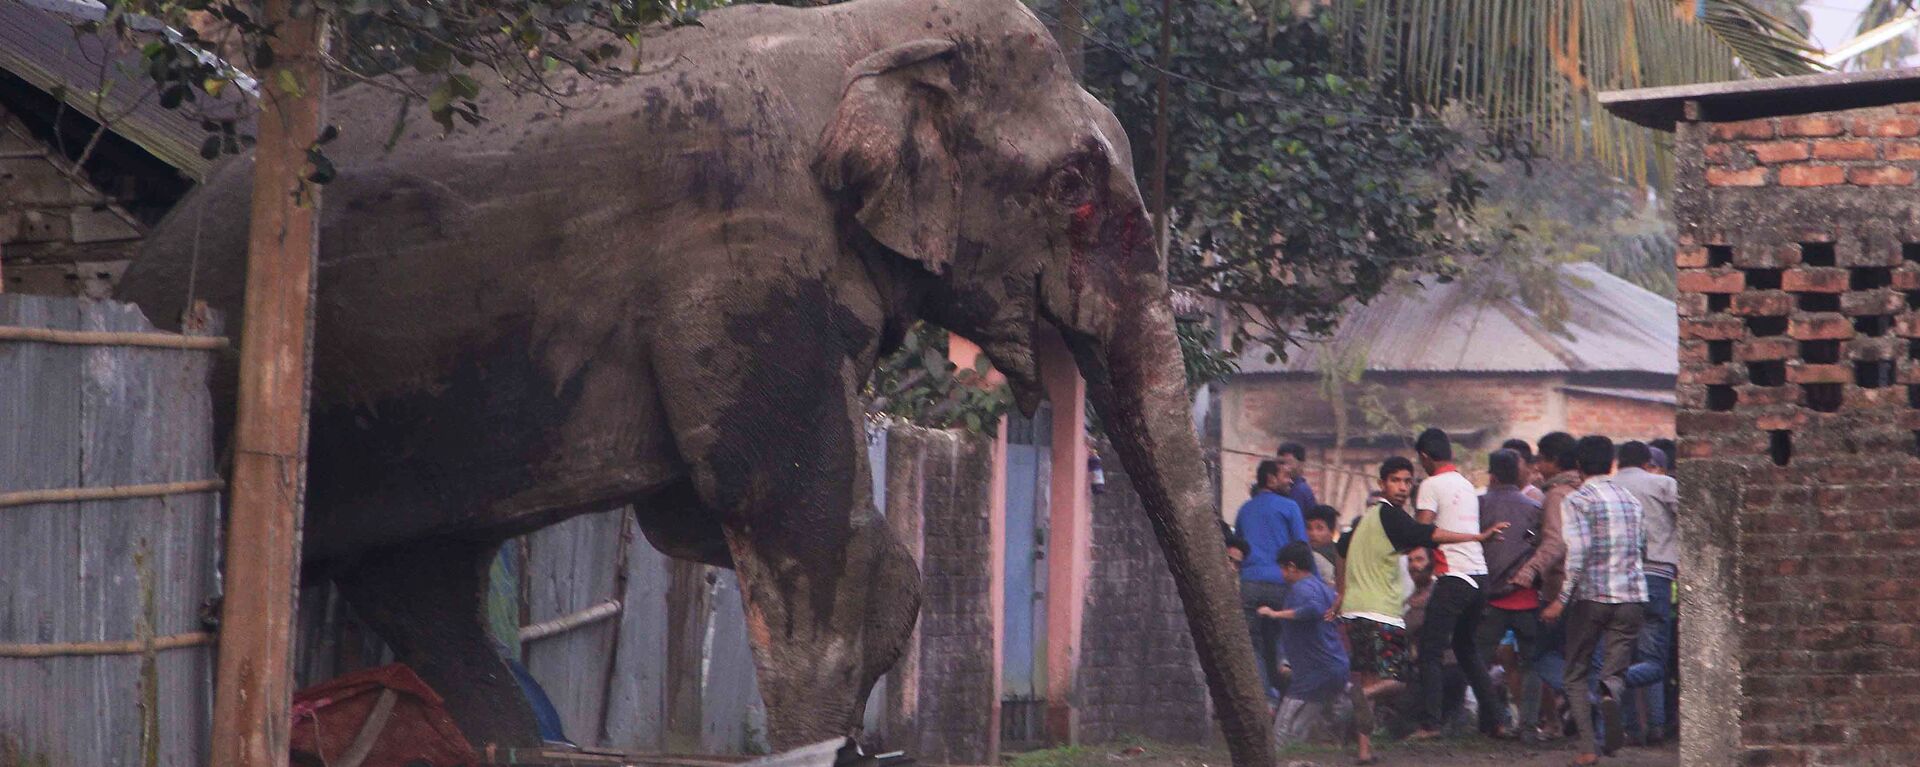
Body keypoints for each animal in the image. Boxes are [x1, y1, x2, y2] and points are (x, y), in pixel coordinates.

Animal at [112, 0, 1267, 765]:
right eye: (1073, 188)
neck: (867, 35)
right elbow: (795, 518)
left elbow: (703, 514)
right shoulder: (742, 245)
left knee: (426, 584)